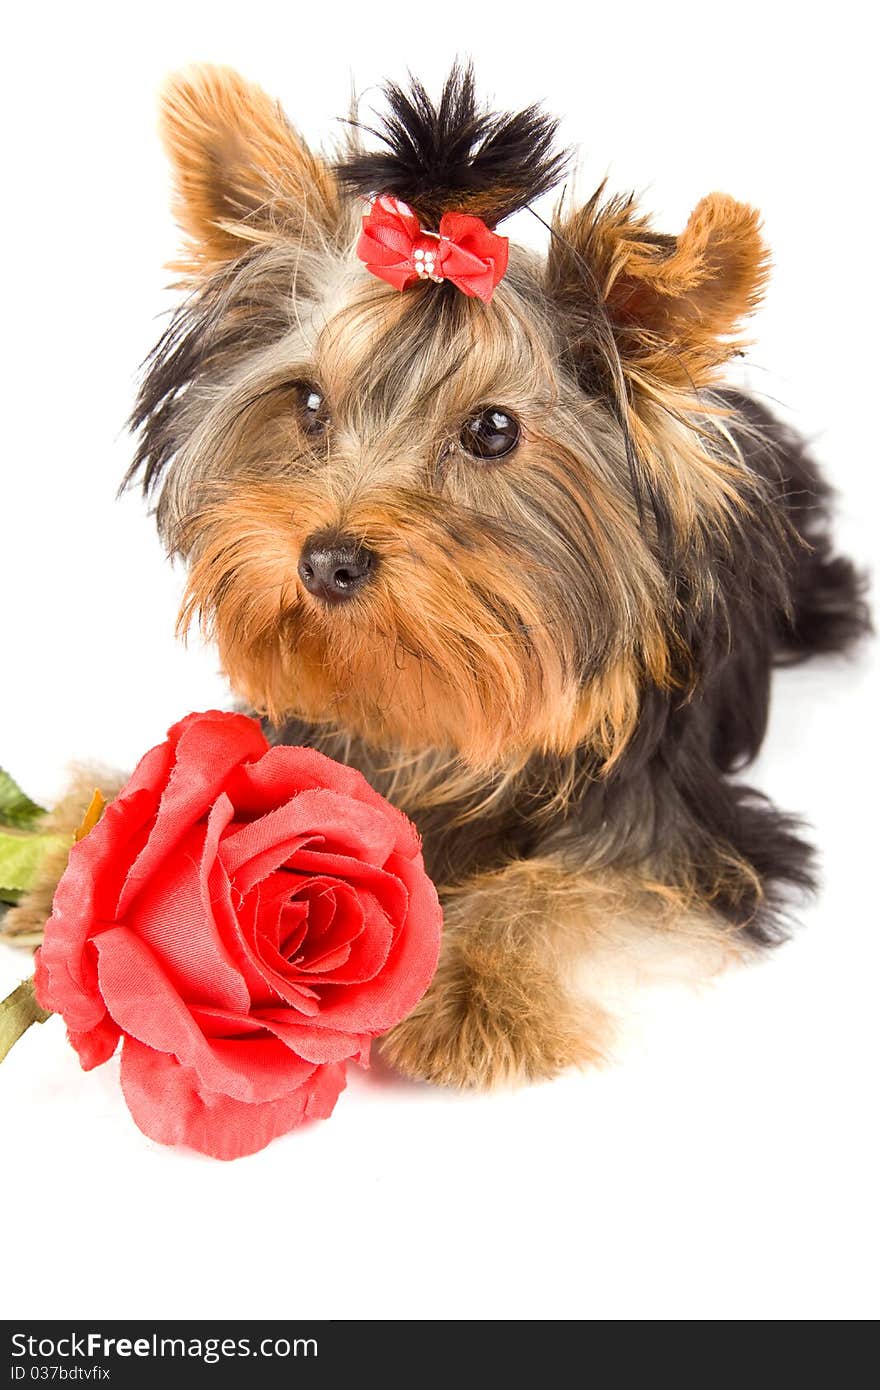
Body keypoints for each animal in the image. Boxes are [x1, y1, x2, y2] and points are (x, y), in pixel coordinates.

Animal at [5, 65, 873, 1084]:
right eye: (308, 403)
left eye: (492, 430)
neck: (435, 717)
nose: (328, 559)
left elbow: (589, 885)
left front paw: (473, 984)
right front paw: (72, 852)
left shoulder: (683, 835)